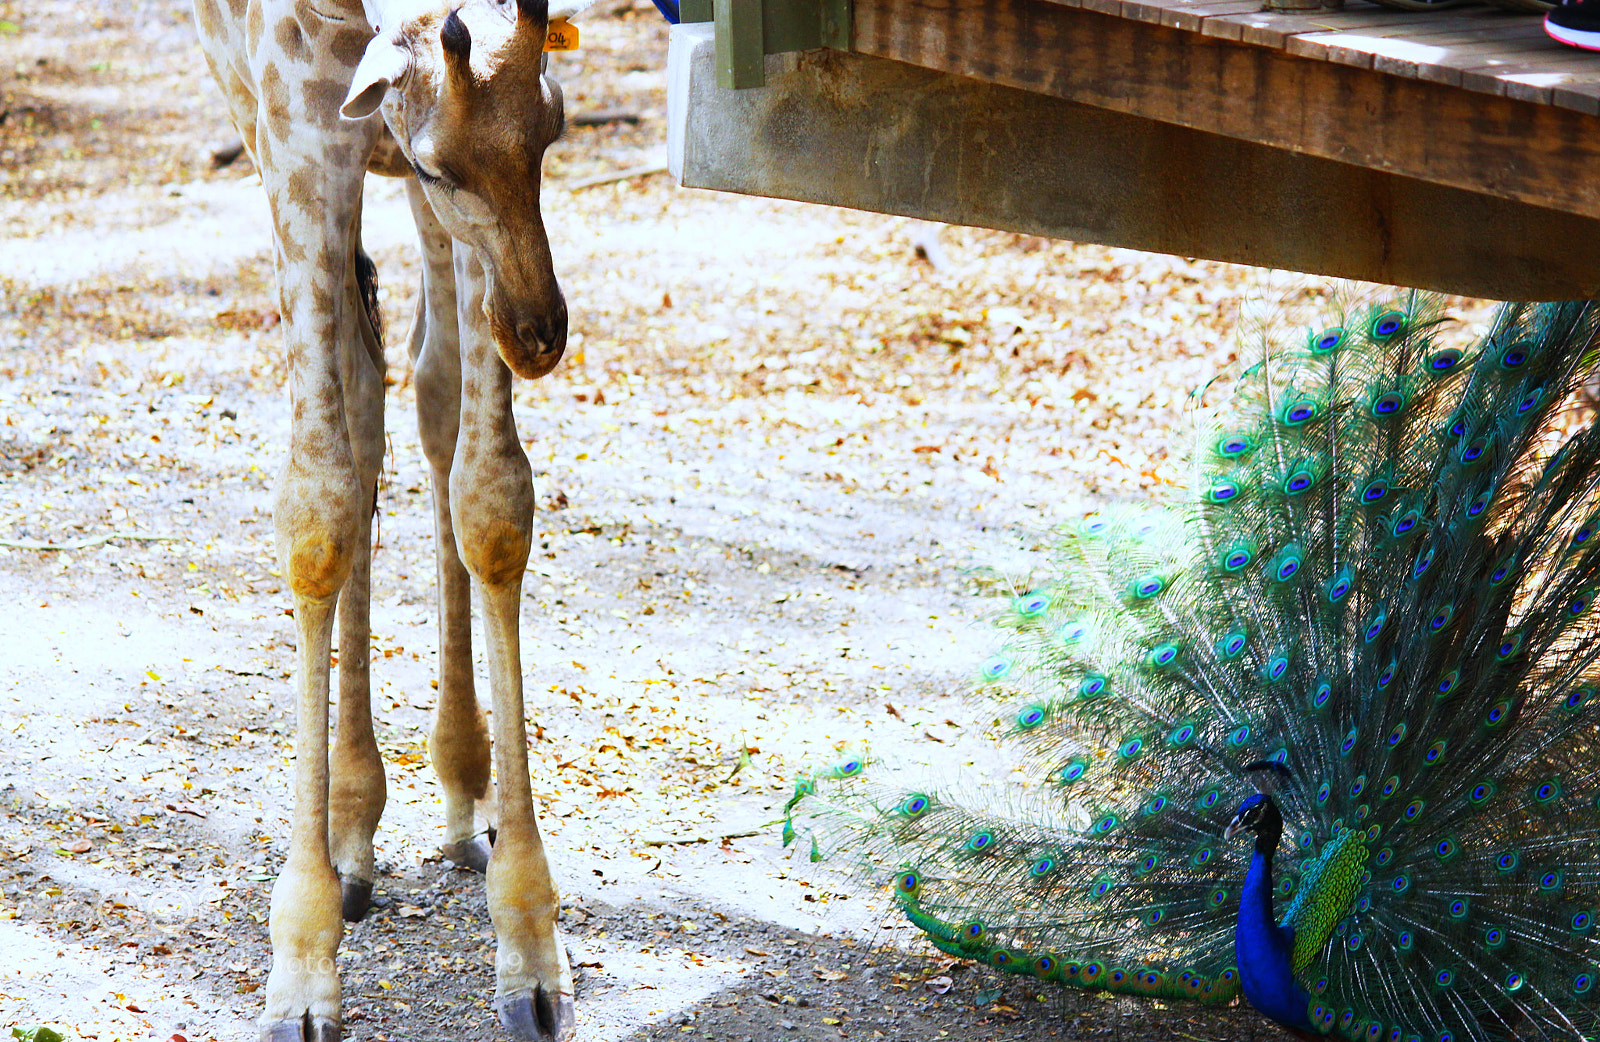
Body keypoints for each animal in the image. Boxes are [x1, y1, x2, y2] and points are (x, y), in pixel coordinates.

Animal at [189, 0, 576, 1038]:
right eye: (440, 163)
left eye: (554, 131)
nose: (540, 333)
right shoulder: (301, 135)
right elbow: (320, 503)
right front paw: (302, 967)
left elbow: (491, 500)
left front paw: (529, 951)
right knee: (365, 413)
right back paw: (352, 831)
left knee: (427, 392)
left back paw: (458, 795)